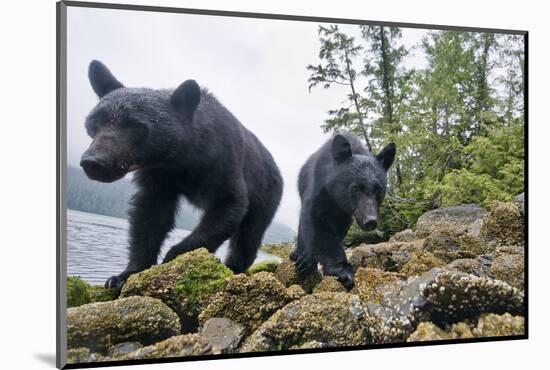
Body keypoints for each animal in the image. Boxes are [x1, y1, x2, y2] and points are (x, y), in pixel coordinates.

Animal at [82, 60, 284, 290]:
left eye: (136, 126)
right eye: (94, 121)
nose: (93, 162)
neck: (181, 157)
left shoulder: (222, 160)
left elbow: (229, 205)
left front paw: (173, 257)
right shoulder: (159, 174)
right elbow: (150, 215)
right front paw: (123, 275)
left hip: (266, 193)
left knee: (248, 236)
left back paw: (235, 268)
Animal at [294, 133, 396, 290]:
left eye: (378, 189)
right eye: (355, 188)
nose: (370, 220)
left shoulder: (345, 214)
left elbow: (338, 229)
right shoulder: (319, 187)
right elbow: (316, 221)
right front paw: (342, 271)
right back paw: (300, 256)